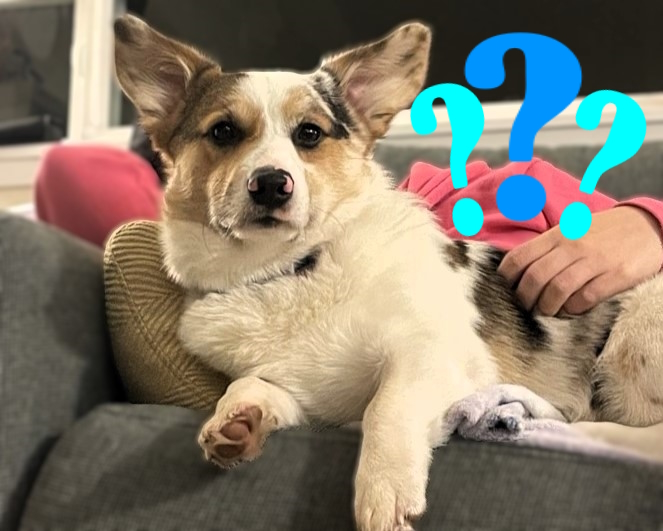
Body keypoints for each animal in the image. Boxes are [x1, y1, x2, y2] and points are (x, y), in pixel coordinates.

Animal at [115, 15, 663, 531]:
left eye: (309, 133)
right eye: (223, 131)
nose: (271, 184)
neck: (288, 269)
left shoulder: (430, 355)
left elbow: (387, 407)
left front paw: (383, 496)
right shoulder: (316, 402)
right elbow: (253, 386)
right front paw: (237, 421)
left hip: (632, 343)